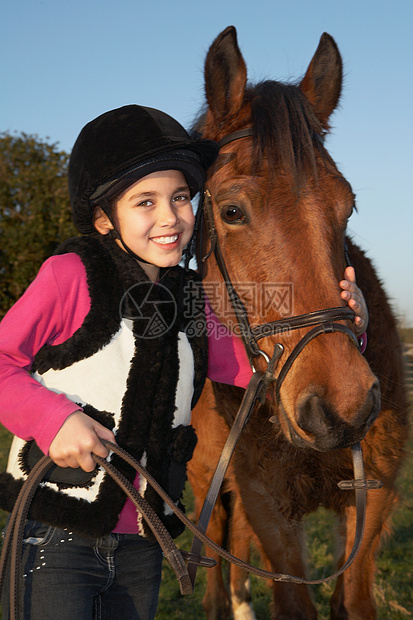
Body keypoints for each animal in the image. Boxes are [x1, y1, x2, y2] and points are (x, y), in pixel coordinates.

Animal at [187, 26, 408, 616]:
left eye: (347, 205)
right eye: (232, 211)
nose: (344, 406)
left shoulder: (370, 505)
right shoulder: (270, 512)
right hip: (205, 482)